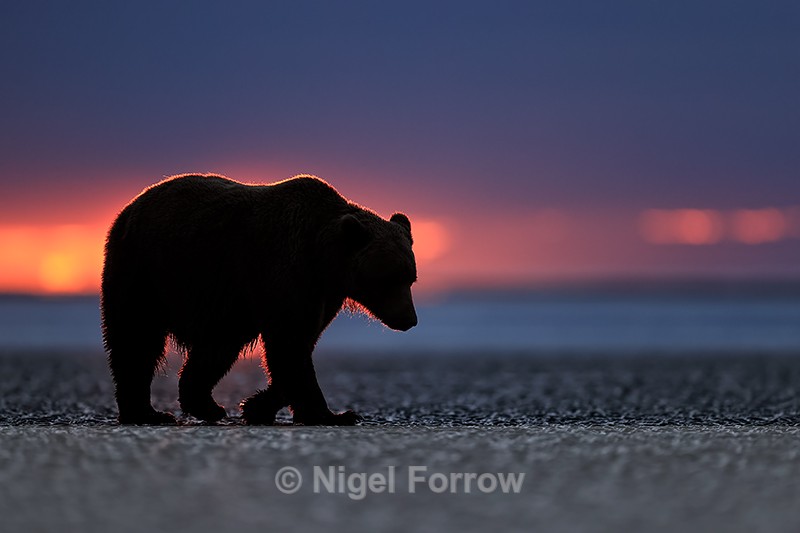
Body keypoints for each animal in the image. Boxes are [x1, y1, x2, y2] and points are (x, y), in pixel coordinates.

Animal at [101, 173, 417, 425]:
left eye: (410, 278)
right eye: (389, 278)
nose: (409, 319)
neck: (322, 259)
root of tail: (130, 208)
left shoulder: (322, 293)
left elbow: (300, 343)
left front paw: (256, 406)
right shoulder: (284, 268)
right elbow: (290, 344)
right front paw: (335, 415)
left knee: (217, 346)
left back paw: (204, 405)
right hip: (146, 270)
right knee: (137, 337)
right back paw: (146, 412)